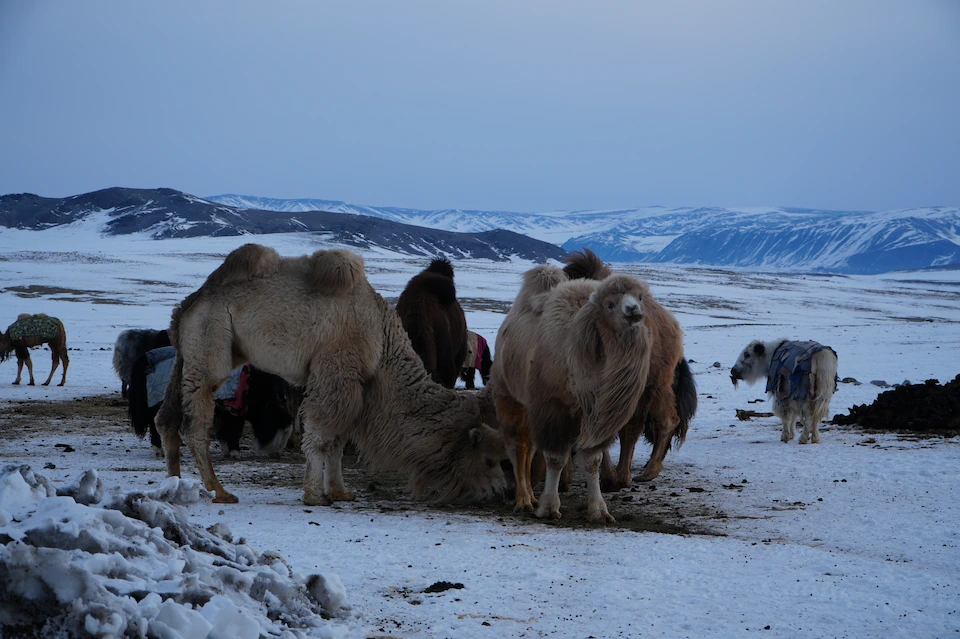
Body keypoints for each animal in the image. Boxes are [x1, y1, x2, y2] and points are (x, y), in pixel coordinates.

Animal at [154, 243, 506, 505]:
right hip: (211, 341)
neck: (382, 342)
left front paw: (340, 491)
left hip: (190, 351)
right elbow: (322, 433)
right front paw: (314, 494)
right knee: (194, 421)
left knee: (166, 418)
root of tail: (190, 303)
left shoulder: (352, 383)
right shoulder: (337, 372)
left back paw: (173, 487)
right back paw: (220, 491)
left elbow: (337, 437)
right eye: (489, 459)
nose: (500, 490)